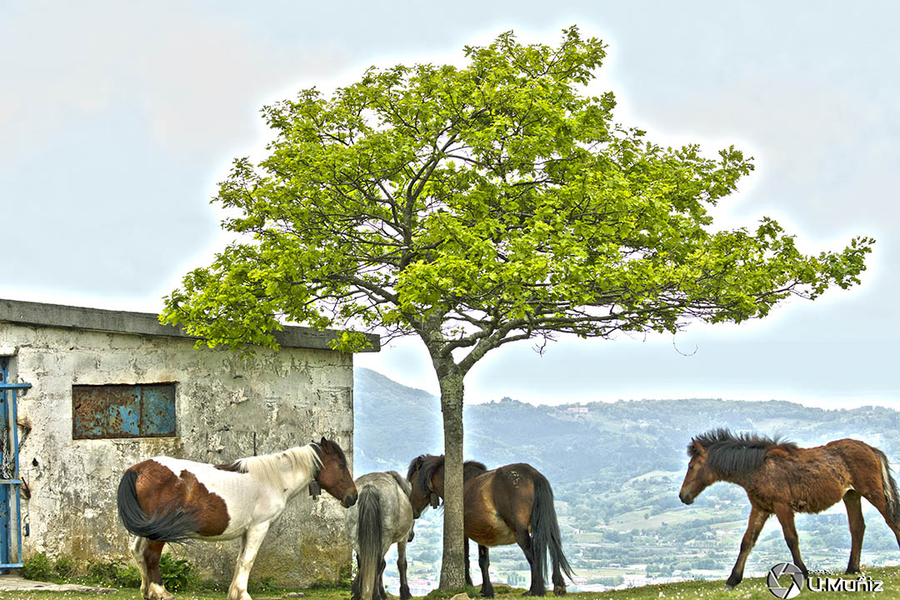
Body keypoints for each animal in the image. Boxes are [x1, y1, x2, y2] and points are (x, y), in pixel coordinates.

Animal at [117, 437, 358, 600]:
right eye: (340, 465)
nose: (353, 497)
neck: (274, 478)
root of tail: (137, 469)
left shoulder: (247, 531)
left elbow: (241, 560)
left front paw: (235, 592)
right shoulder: (259, 527)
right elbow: (249, 560)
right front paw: (243, 594)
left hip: (147, 527)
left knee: (137, 551)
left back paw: (147, 590)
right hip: (158, 531)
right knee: (151, 556)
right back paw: (160, 592)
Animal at [345, 471, 415, 600]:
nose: (411, 536)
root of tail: (369, 487)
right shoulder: (402, 540)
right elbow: (401, 563)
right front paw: (405, 593)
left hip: (356, 537)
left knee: (363, 561)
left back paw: (360, 593)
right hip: (385, 540)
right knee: (378, 563)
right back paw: (376, 595)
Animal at [407, 455, 574, 597]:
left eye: (412, 482)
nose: (412, 510)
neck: (461, 483)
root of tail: (533, 475)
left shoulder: (464, 533)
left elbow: (466, 559)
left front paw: (469, 585)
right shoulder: (483, 533)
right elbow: (483, 562)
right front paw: (486, 590)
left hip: (520, 531)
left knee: (532, 554)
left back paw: (535, 590)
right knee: (552, 547)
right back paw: (558, 586)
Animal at [679, 428, 900, 590]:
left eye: (691, 467)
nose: (683, 496)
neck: (758, 467)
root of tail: (871, 449)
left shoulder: (782, 507)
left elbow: (791, 539)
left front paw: (803, 572)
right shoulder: (760, 508)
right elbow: (747, 542)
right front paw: (732, 580)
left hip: (872, 492)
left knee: (892, 521)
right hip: (851, 495)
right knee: (857, 527)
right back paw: (852, 569)